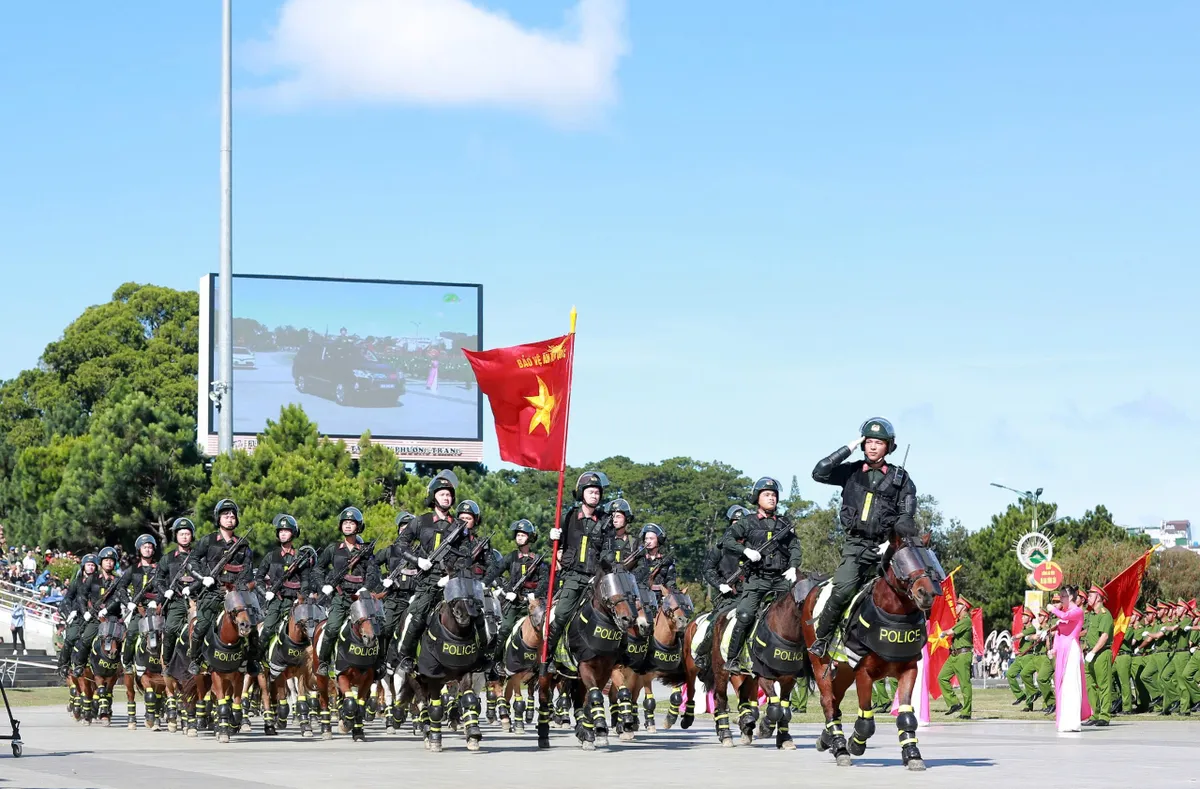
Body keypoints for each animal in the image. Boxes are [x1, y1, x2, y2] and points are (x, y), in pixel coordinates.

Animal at [537, 570, 643, 748]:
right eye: (608, 586)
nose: (628, 618)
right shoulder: (585, 666)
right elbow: (595, 696)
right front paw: (599, 728)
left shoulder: (605, 671)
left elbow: (592, 697)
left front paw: (591, 731)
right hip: (547, 675)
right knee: (544, 699)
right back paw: (544, 735)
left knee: (579, 700)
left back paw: (582, 730)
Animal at [801, 534, 940, 767]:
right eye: (901, 561)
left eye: (928, 559)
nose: (927, 593)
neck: (894, 617)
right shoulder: (863, 673)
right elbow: (866, 720)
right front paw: (854, 744)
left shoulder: (909, 670)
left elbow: (906, 716)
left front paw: (912, 753)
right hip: (821, 663)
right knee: (828, 701)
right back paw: (840, 747)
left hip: (845, 671)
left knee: (835, 702)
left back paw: (828, 739)